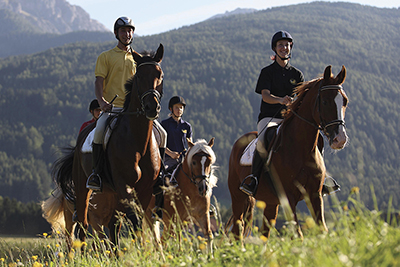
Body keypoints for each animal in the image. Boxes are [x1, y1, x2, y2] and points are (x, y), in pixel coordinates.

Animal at [54, 43, 164, 247]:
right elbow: (134, 220)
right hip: (83, 186)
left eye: (159, 74)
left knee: (114, 226)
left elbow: (138, 222)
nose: (152, 108)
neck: (138, 141)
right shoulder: (124, 185)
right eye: (138, 76)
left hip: (112, 193)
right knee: (83, 223)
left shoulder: (144, 190)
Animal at [227, 66, 348, 241]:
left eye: (345, 101)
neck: (302, 149)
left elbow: (322, 230)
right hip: (238, 196)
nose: (340, 139)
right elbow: (298, 234)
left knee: (264, 232)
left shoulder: (315, 195)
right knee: (238, 228)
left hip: (270, 202)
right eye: (325, 101)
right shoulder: (289, 197)